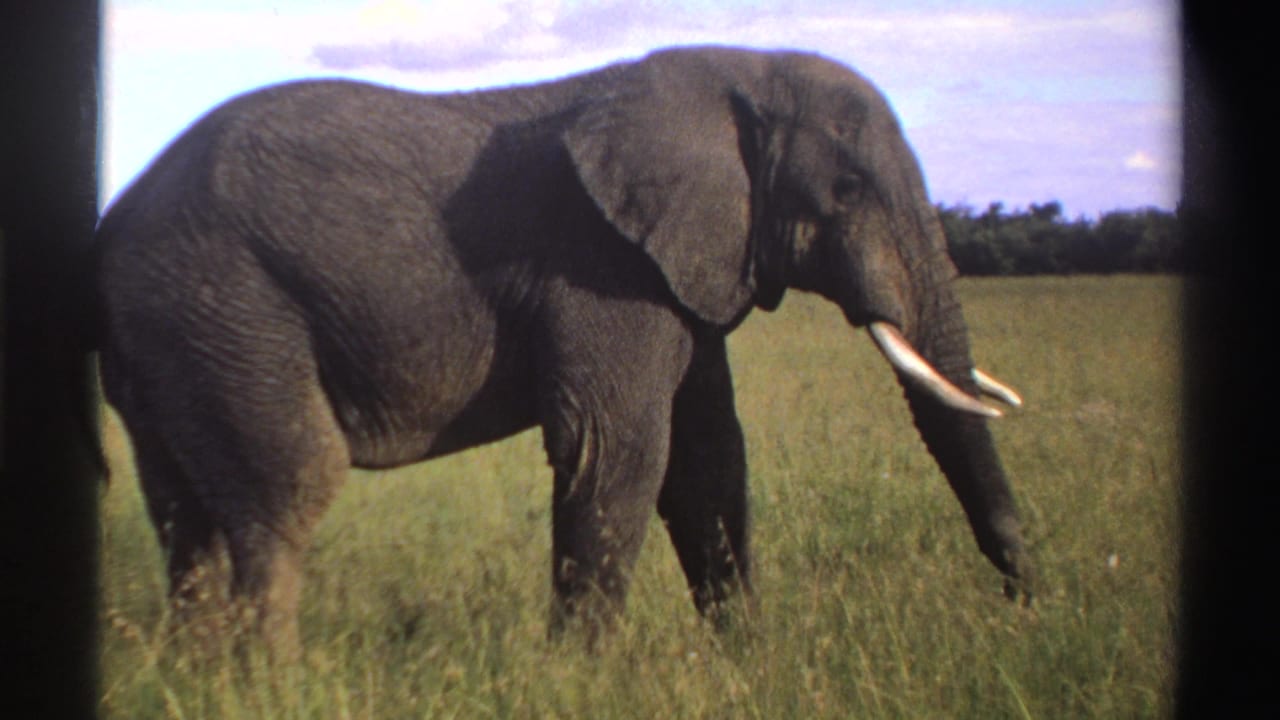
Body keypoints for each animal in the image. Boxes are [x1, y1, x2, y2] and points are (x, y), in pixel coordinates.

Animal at [94, 45, 1028, 657]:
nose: (1025, 600)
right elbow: (619, 450)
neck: (733, 70)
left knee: (185, 517)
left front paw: (745, 660)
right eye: (847, 188)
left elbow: (708, 461)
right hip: (224, 303)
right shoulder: (602, 265)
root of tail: (114, 220)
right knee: (286, 488)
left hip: (177, 334)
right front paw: (584, 680)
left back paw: (201, 679)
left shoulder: (674, 273)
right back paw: (271, 683)